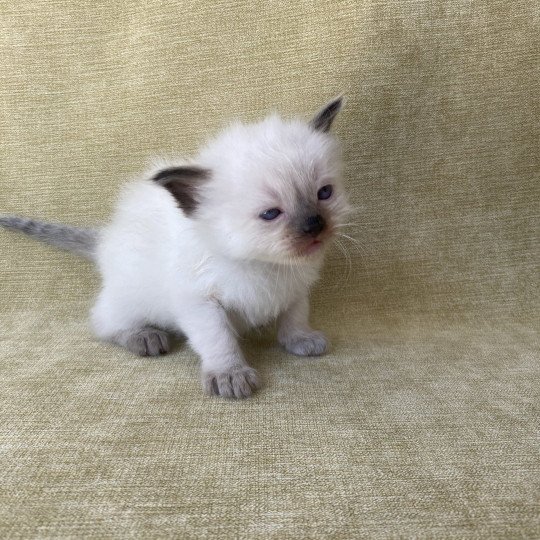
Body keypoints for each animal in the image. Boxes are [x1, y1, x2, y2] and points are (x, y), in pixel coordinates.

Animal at [0, 97, 350, 398]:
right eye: (270, 214)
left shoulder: (296, 289)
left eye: (324, 193)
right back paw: (144, 336)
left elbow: (295, 317)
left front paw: (301, 340)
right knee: (103, 322)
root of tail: (105, 238)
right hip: (129, 297)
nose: (314, 226)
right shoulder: (200, 301)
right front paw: (230, 374)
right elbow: (218, 339)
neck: (265, 263)